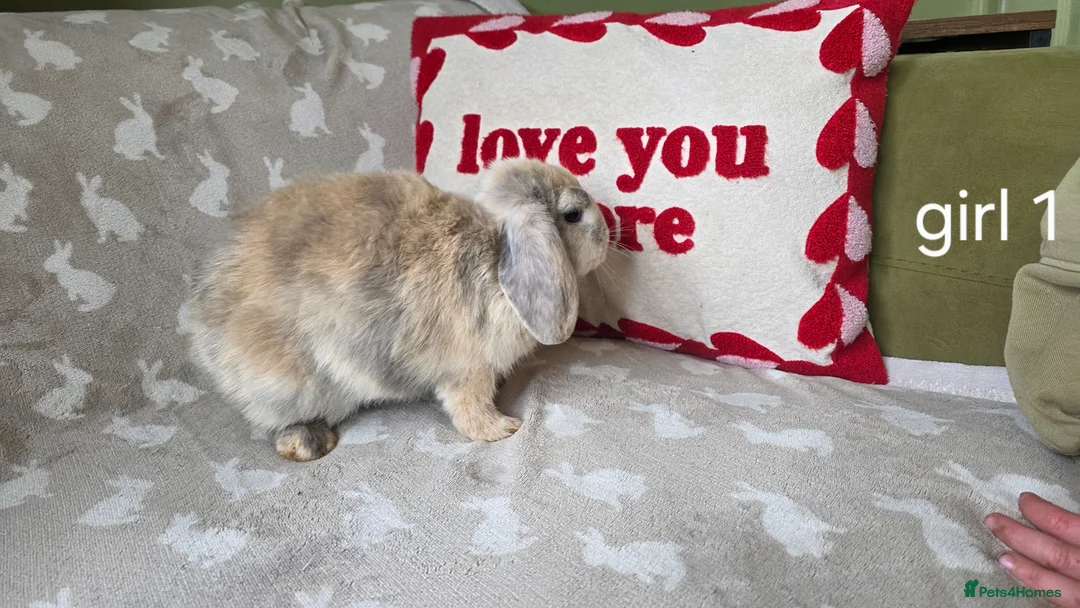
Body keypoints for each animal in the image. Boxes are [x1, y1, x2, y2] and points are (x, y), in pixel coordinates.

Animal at [185, 159, 609, 461]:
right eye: (573, 214)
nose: (608, 231)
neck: (496, 253)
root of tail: (202, 324)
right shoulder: (466, 369)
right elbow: (468, 407)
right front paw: (503, 428)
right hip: (288, 383)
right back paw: (309, 443)